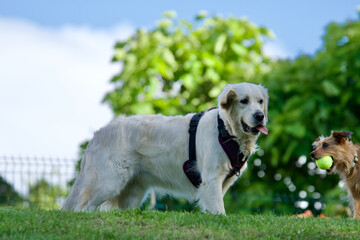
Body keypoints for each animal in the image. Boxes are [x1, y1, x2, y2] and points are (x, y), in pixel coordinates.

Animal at [62, 82, 268, 214]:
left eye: (260, 101)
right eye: (243, 101)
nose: (260, 116)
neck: (225, 129)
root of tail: (100, 132)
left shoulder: (222, 182)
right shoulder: (211, 179)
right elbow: (218, 209)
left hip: (131, 192)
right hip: (108, 181)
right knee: (82, 208)